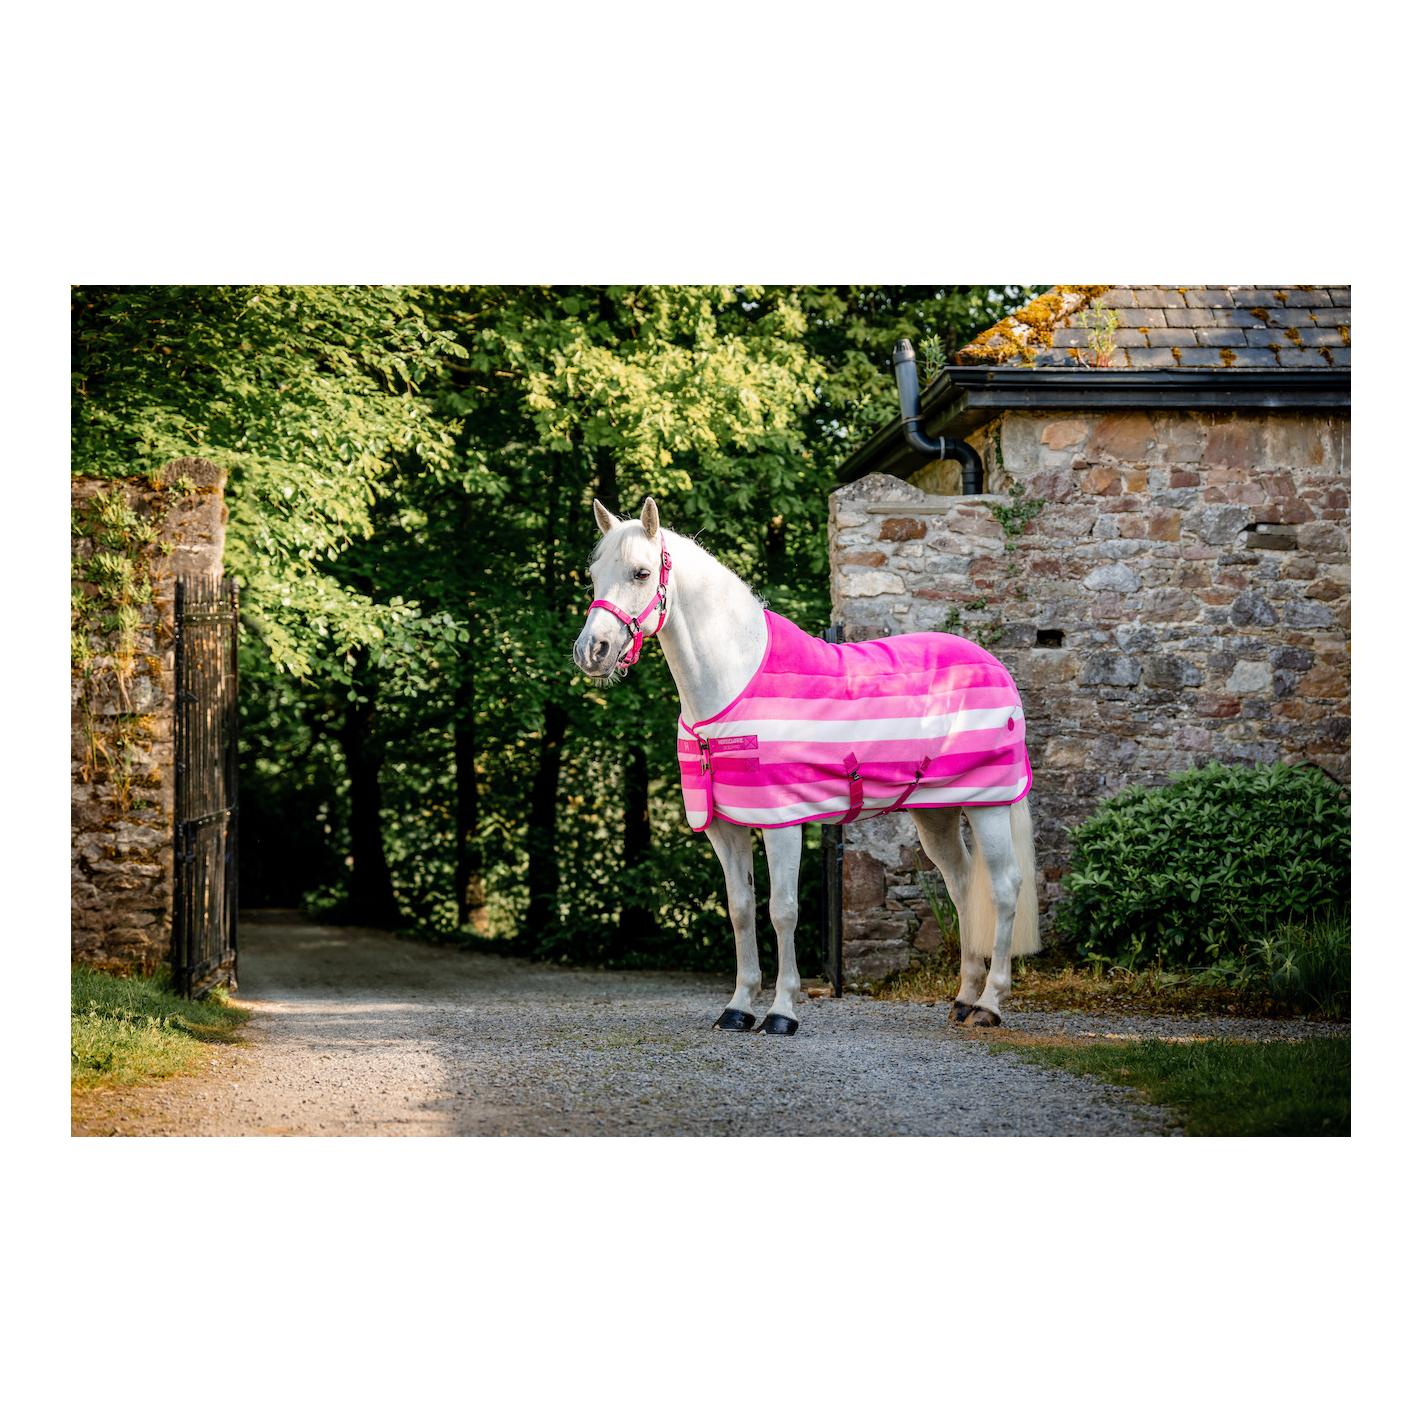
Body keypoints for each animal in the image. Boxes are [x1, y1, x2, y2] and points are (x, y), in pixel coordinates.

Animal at [572, 496, 1040, 1034]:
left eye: (642, 572)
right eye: (594, 574)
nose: (591, 651)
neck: (732, 685)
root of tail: (995, 666)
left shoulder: (783, 823)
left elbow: (783, 911)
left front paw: (781, 1012)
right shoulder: (725, 827)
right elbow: (740, 909)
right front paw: (737, 1008)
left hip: (989, 805)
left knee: (1003, 888)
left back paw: (989, 1004)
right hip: (937, 812)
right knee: (961, 884)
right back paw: (963, 998)